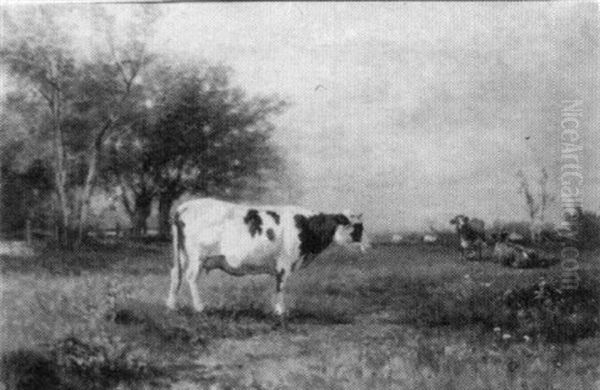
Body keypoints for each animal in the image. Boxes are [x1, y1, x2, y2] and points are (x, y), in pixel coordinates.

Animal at [166, 198, 368, 316]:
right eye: (358, 228)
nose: (369, 244)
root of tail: (185, 206)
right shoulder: (285, 264)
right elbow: (280, 287)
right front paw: (280, 312)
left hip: (181, 255)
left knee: (176, 275)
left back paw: (171, 306)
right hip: (197, 256)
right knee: (191, 278)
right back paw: (200, 308)